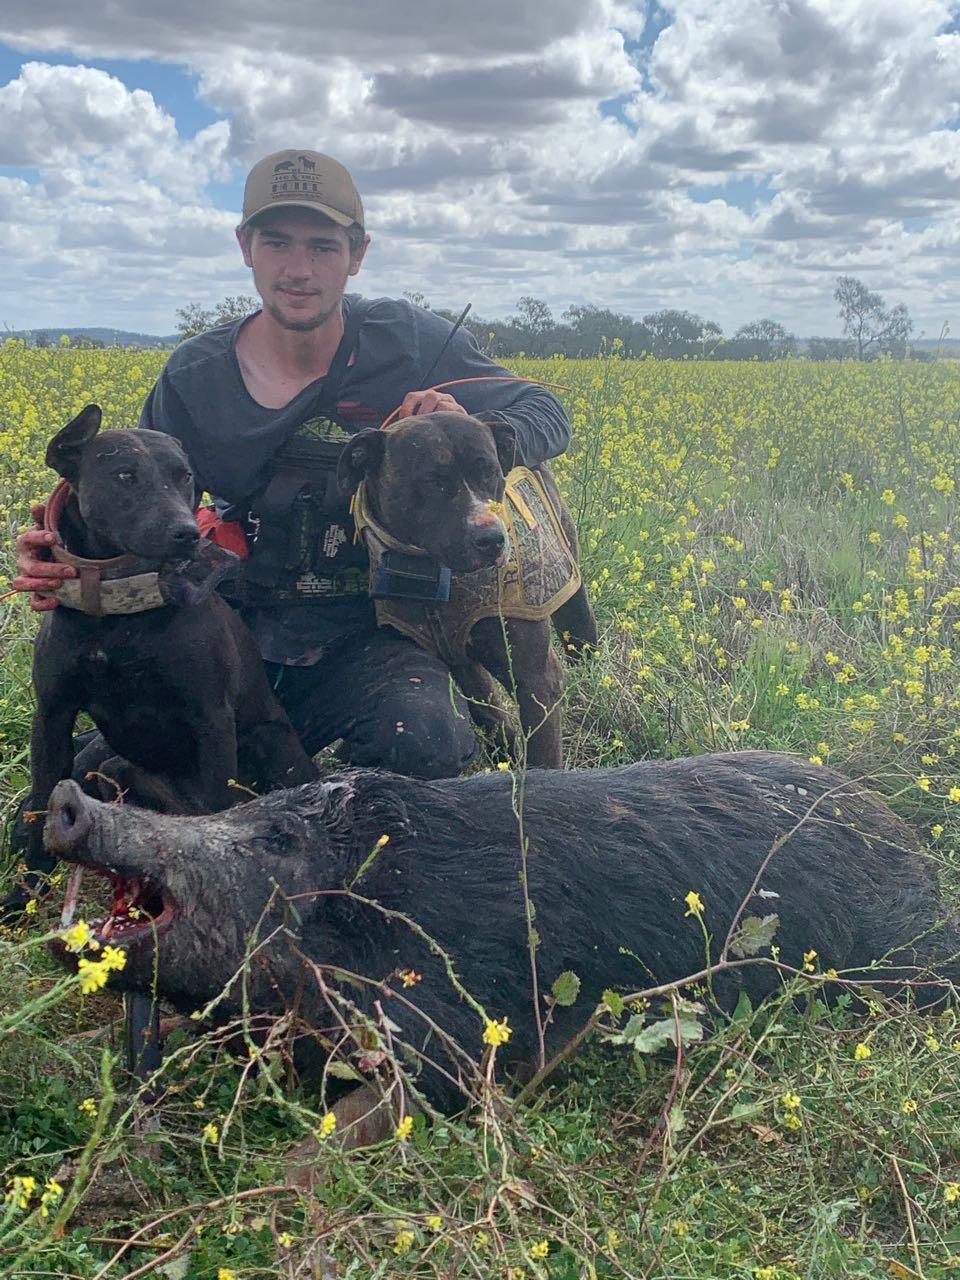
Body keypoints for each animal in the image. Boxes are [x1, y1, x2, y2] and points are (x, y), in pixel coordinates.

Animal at [337, 412, 598, 767]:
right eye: (433, 481)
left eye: (489, 472)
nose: (492, 540)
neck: (439, 580)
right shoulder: (461, 666)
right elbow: (491, 716)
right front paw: (505, 759)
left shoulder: (536, 679)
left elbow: (543, 758)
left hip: (572, 590)